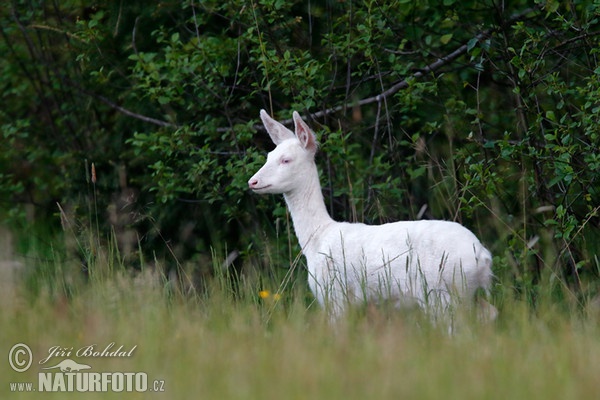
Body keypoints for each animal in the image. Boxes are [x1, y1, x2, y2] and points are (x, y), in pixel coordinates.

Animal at [246, 110, 494, 322]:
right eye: (269, 155)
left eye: (286, 160)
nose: (253, 181)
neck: (317, 239)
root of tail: (483, 256)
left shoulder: (335, 295)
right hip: (465, 294)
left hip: (443, 291)